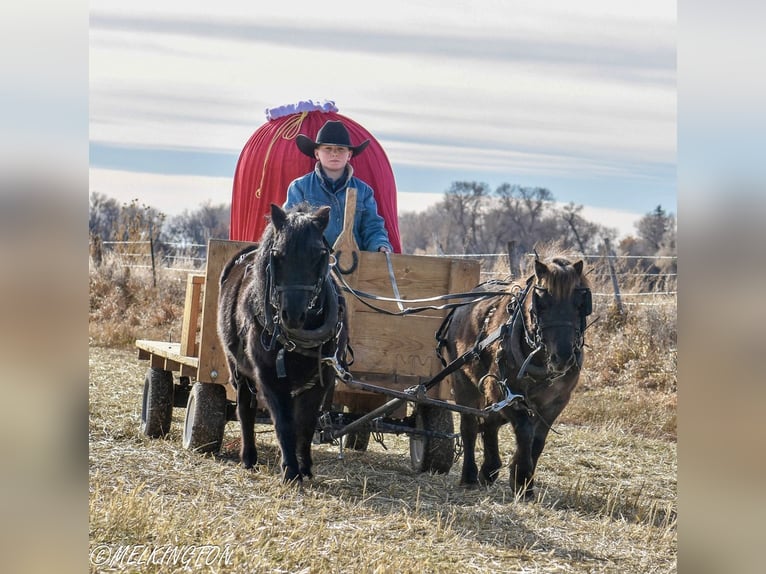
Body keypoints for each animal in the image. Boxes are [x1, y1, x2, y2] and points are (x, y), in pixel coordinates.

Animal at [216, 205, 348, 484]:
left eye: (319, 255)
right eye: (277, 255)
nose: (293, 314)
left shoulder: (323, 378)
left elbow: (305, 423)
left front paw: (305, 467)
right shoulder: (269, 377)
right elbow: (284, 422)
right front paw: (290, 470)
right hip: (238, 370)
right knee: (245, 410)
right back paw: (249, 457)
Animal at [440, 256, 592, 500]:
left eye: (580, 303)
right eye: (541, 303)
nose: (563, 357)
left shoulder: (556, 402)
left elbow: (537, 440)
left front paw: (523, 479)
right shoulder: (505, 391)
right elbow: (524, 431)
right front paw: (521, 478)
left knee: (489, 422)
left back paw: (489, 469)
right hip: (463, 382)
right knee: (470, 426)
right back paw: (470, 475)